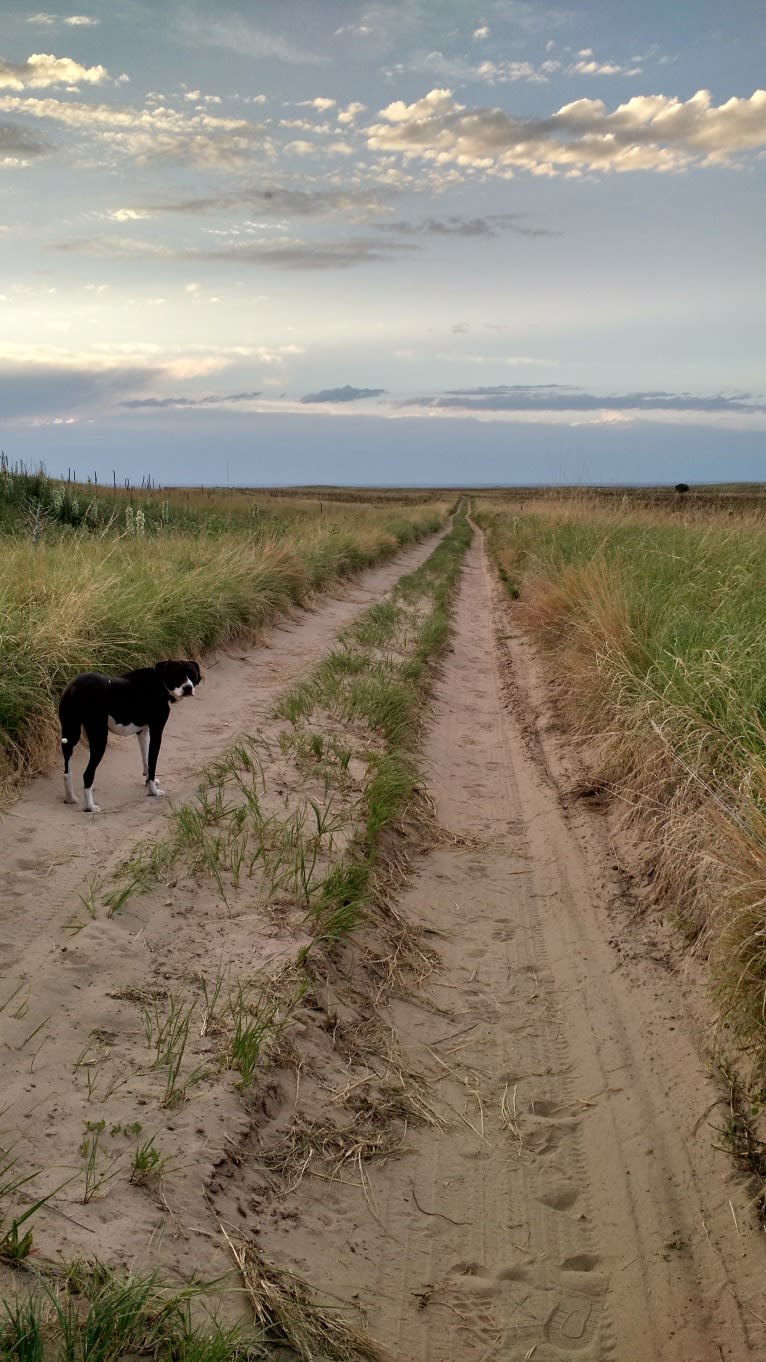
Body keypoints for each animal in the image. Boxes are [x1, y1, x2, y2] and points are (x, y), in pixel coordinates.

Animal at [58, 661, 201, 811]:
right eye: (176, 674)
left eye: (192, 674)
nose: (188, 688)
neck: (160, 681)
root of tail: (76, 687)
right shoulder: (157, 732)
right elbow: (152, 764)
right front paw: (153, 792)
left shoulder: (143, 731)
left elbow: (146, 760)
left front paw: (148, 783)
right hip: (99, 738)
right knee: (87, 774)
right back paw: (90, 807)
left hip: (70, 736)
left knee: (66, 773)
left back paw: (70, 798)